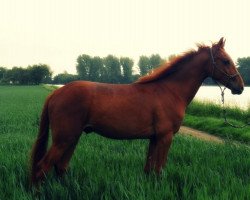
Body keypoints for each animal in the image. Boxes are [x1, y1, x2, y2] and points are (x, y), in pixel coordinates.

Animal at [29, 38, 244, 185]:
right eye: (225, 60)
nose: (240, 87)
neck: (169, 90)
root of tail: (56, 92)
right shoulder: (165, 137)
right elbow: (159, 170)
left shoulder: (154, 138)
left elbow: (149, 170)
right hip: (64, 139)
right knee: (41, 169)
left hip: (72, 138)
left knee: (60, 167)